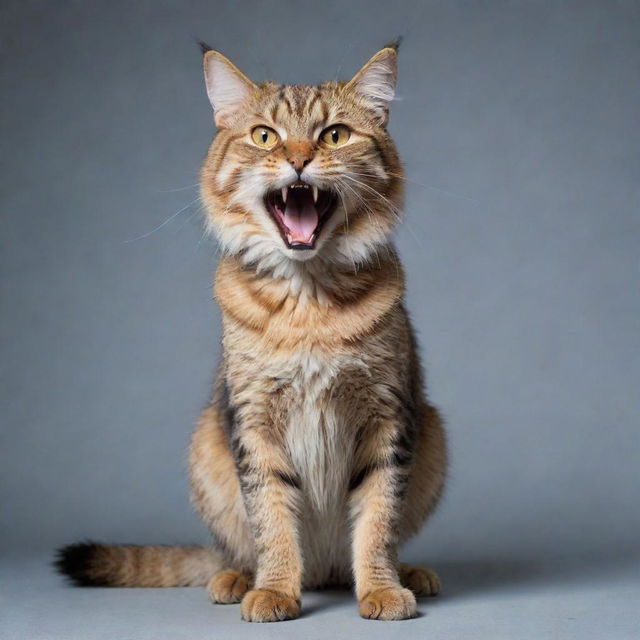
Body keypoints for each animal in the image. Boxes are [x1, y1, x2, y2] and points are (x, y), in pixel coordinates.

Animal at [55, 40, 448, 620]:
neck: (308, 300)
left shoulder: (388, 417)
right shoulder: (255, 423)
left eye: (335, 134)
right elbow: (272, 520)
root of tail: (326, 571)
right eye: (265, 135)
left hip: (433, 433)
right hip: (206, 444)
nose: (299, 159)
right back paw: (238, 577)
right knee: (237, 548)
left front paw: (380, 588)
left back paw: (409, 573)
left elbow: (378, 520)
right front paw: (275, 589)